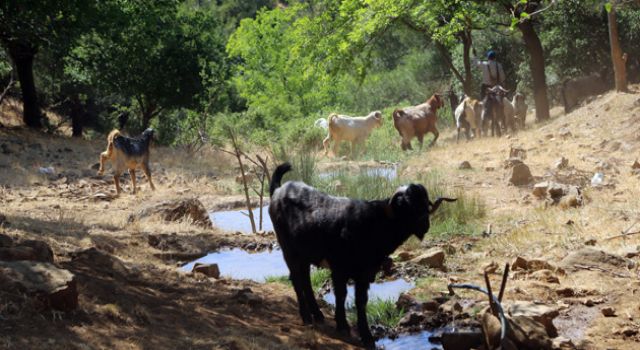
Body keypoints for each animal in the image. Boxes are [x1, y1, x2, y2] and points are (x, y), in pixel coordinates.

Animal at [268, 162, 458, 348]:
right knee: (297, 280)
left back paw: (318, 314)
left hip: (305, 254)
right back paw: (307, 317)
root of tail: (278, 190)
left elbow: (361, 301)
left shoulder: (365, 272)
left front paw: (366, 337)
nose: (424, 224)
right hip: (288, 249)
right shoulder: (340, 268)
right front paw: (343, 326)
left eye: (425, 202)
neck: (373, 224)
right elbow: (342, 295)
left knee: (305, 280)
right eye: (406, 204)